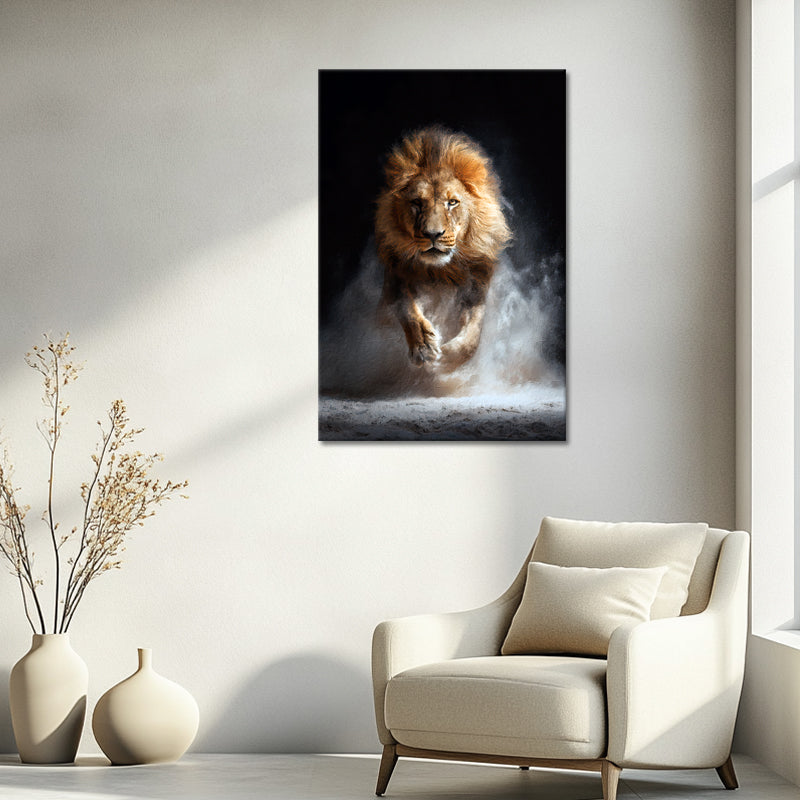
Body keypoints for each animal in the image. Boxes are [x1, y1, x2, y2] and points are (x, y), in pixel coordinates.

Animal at [375, 126, 512, 371]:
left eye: (452, 202)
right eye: (417, 202)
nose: (433, 234)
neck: (441, 271)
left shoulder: (477, 283)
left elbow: (473, 331)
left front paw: (448, 357)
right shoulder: (395, 274)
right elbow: (406, 308)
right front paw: (423, 347)